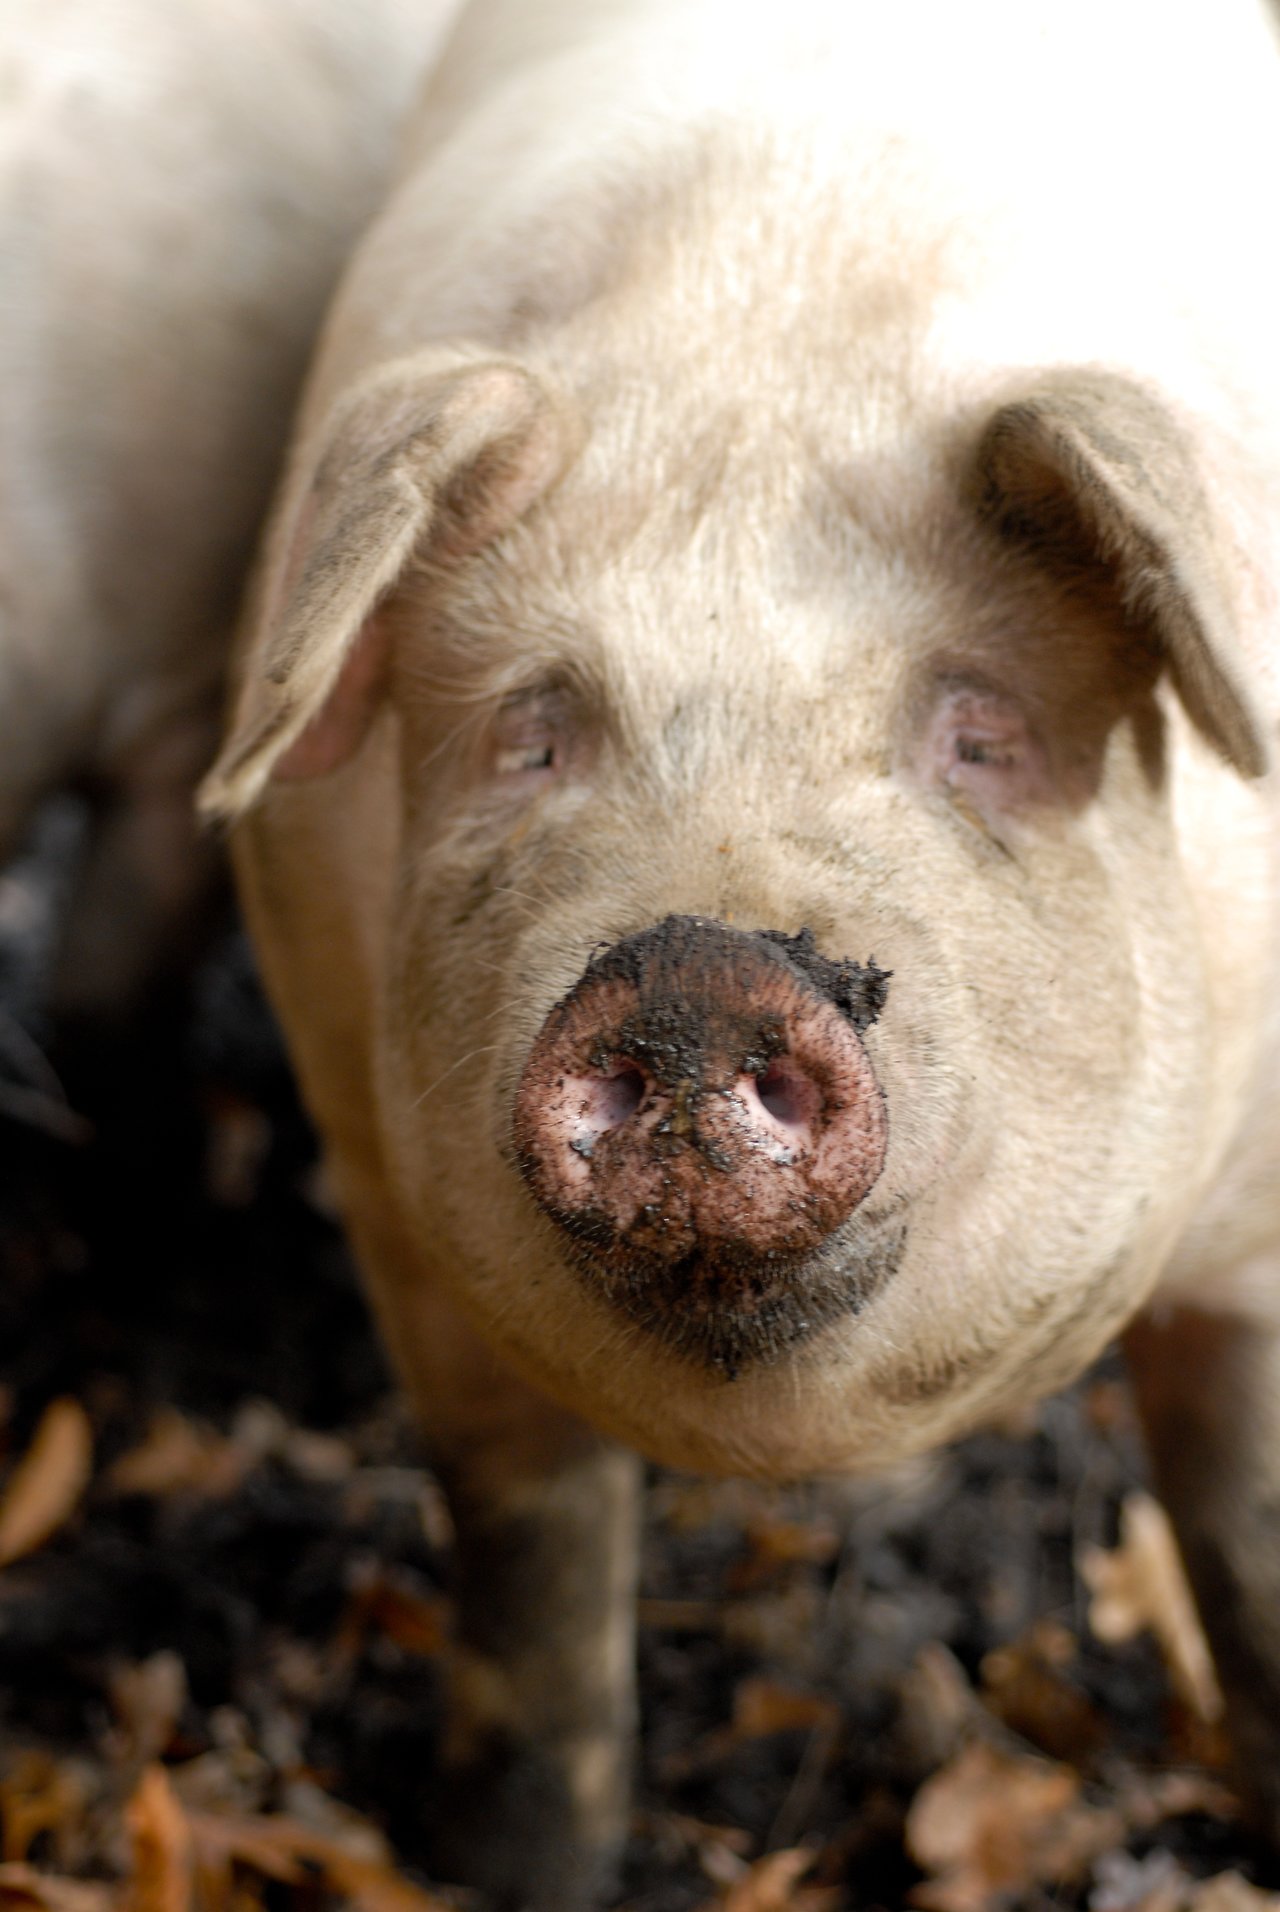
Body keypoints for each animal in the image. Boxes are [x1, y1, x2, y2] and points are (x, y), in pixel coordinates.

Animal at [200, 0, 1280, 1903]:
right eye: (531, 735)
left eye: (981, 734)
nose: (698, 967)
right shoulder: (383, 1186)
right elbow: (531, 1551)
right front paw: (503, 1868)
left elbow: (1248, 1510)